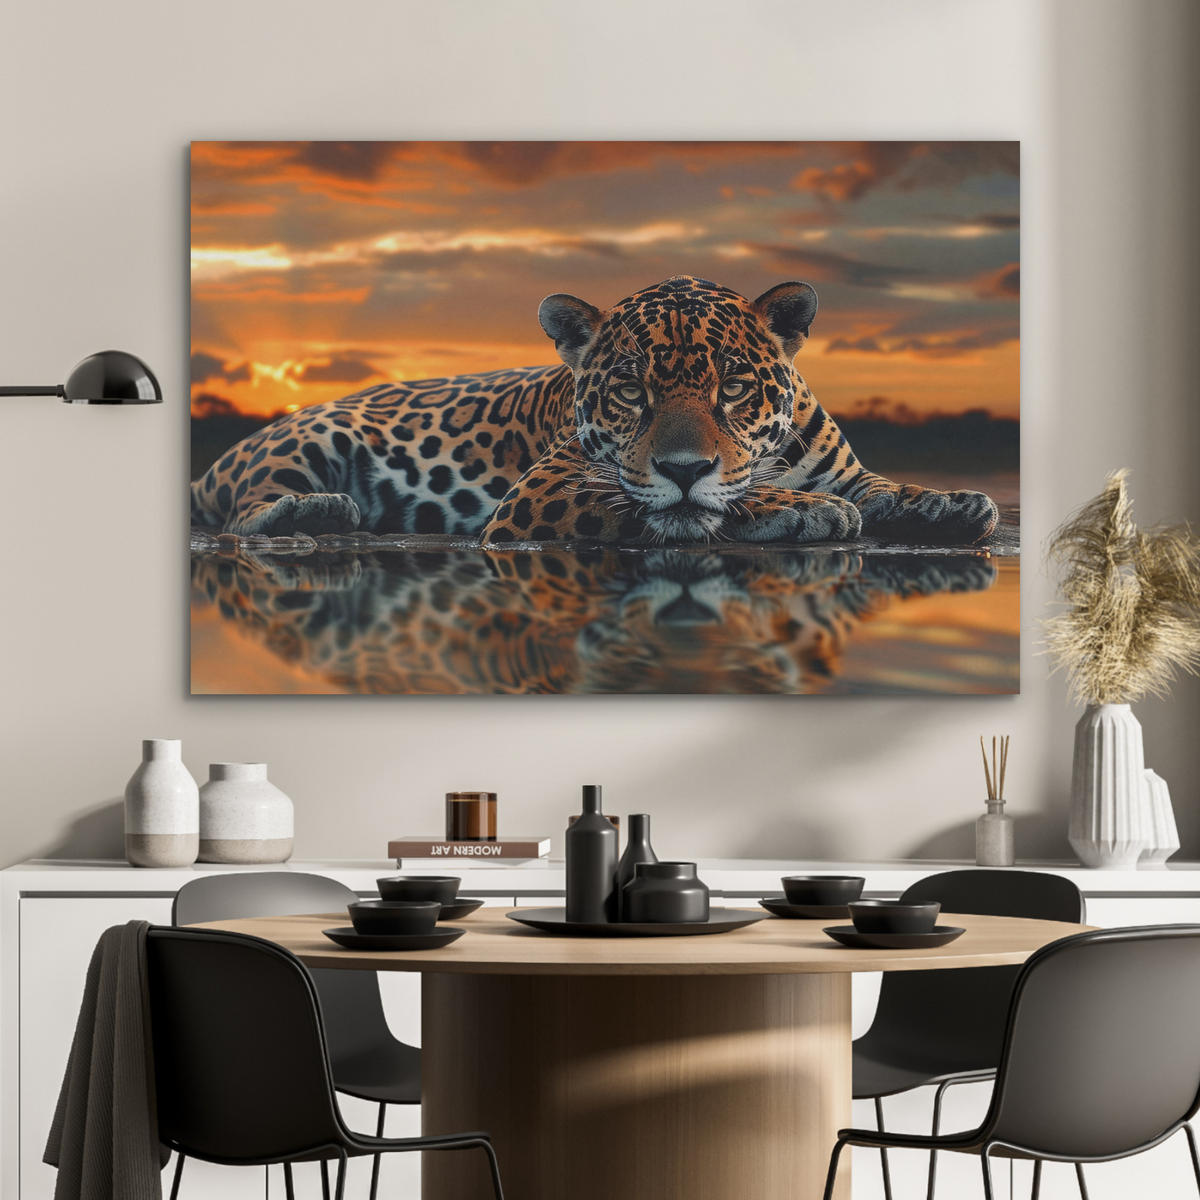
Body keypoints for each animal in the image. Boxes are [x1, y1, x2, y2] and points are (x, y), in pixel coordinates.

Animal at [190, 275, 999, 547]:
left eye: (734, 388)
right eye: (631, 392)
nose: (683, 466)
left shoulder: (845, 469)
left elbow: (887, 487)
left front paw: (954, 503)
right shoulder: (545, 492)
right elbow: (692, 503)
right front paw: (803, 511)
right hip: (308, 438)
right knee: (244, 510)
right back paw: (317, 510)